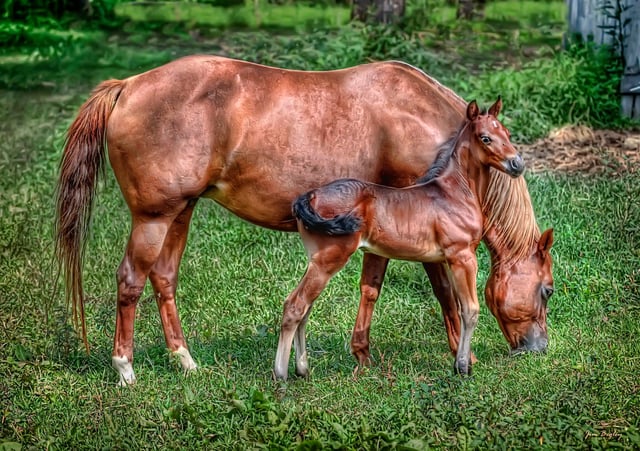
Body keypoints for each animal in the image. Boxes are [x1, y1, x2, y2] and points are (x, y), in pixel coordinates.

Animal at [276, 100, 524, 382]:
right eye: (485, 138)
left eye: (507, 133)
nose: (517, 164)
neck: (454, 192)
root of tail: (310, 195)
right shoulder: (462, 256)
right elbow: (470, 310)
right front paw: (463, 367)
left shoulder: (450, 259)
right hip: (328, 259)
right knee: (295, 306)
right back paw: (281, 375)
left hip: (316, 261)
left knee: (304, 309)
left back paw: (303, 369)